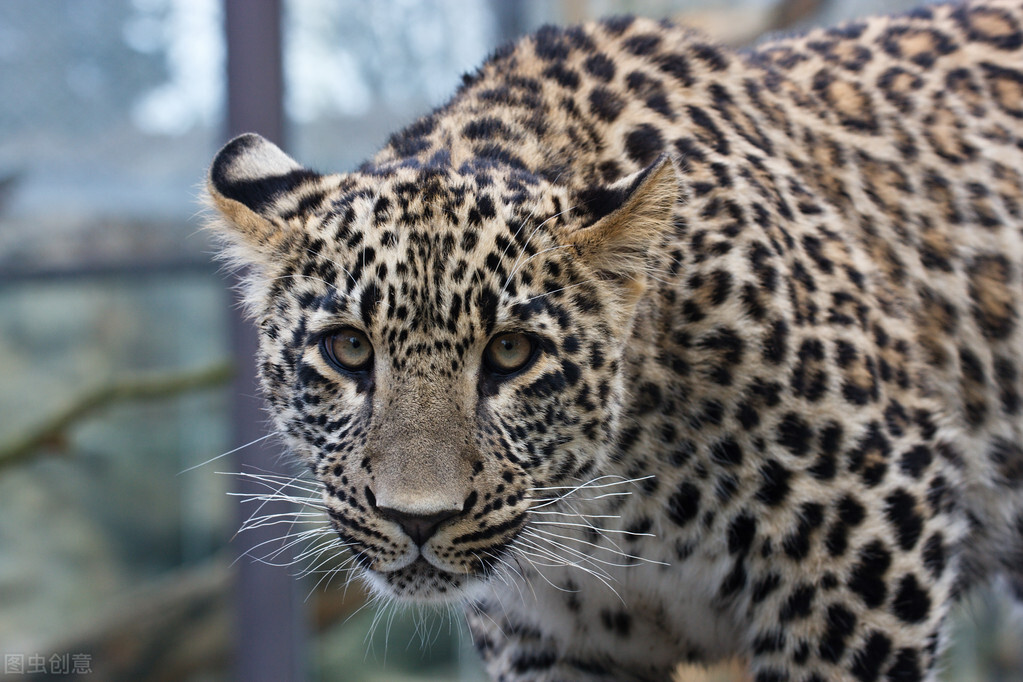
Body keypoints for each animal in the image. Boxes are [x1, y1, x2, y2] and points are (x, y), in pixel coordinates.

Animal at [203, 2, 1023, 678]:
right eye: (347, 349)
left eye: (511, 353)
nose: (418, 518)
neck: (601, 509)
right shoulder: (544, 642)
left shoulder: (868, 537)